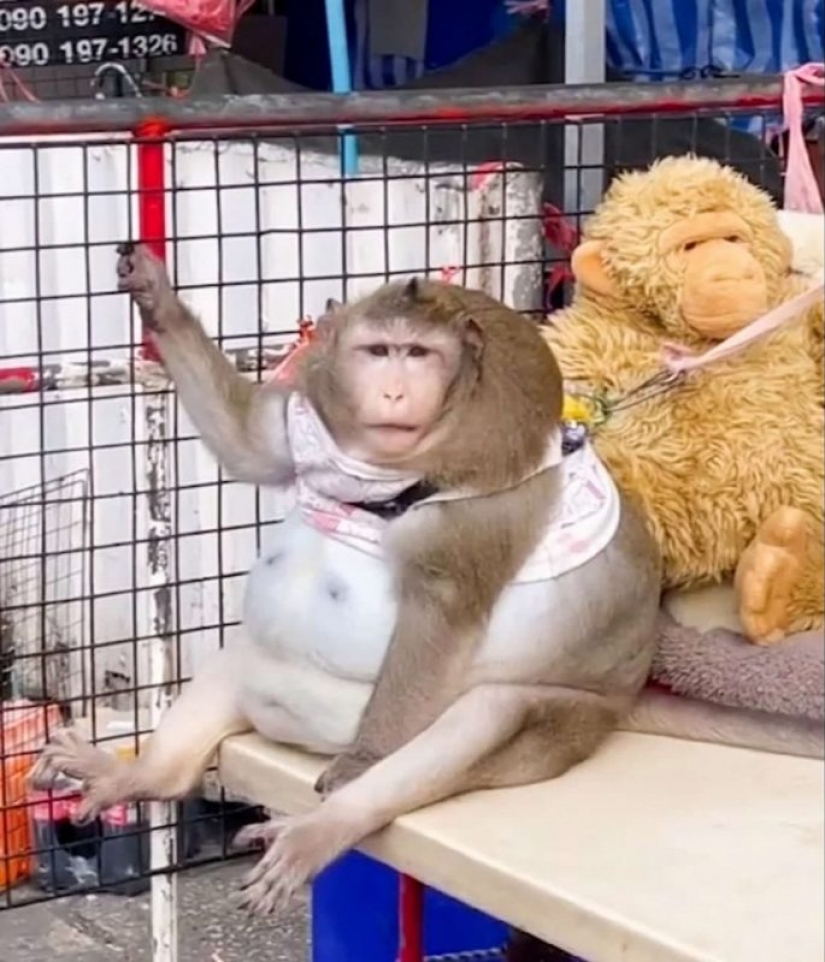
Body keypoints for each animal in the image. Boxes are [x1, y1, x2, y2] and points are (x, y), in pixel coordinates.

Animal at [30, 242, 662, 917]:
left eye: (420, 355)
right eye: (378, 351)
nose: (393, 392)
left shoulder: (478, 510)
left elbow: (440, 617)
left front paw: (364, 761)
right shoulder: (308, 423)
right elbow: (251, 444)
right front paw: (156, 297)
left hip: (568, 724)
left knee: (491, 714)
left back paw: (322, 826)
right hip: (258, 670)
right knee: (243, 656)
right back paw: (144, 774)